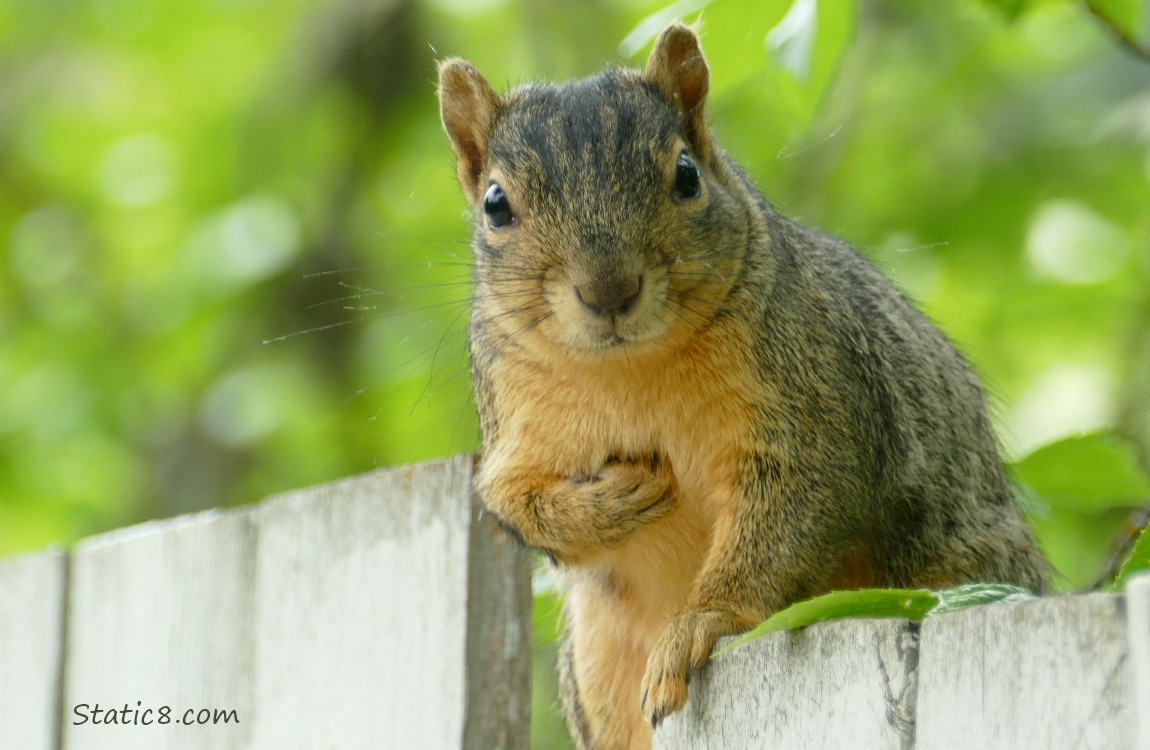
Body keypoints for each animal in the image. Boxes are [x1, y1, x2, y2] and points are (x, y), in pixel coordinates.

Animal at [437, 22, 1051, 750]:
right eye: (496, 206)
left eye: (686, 175)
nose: (609, 291)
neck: (627, 372)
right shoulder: (514, 427)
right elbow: (512, 504)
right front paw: (615, 501)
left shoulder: (818, 407)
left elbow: (785, 523)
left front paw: (703, 621)